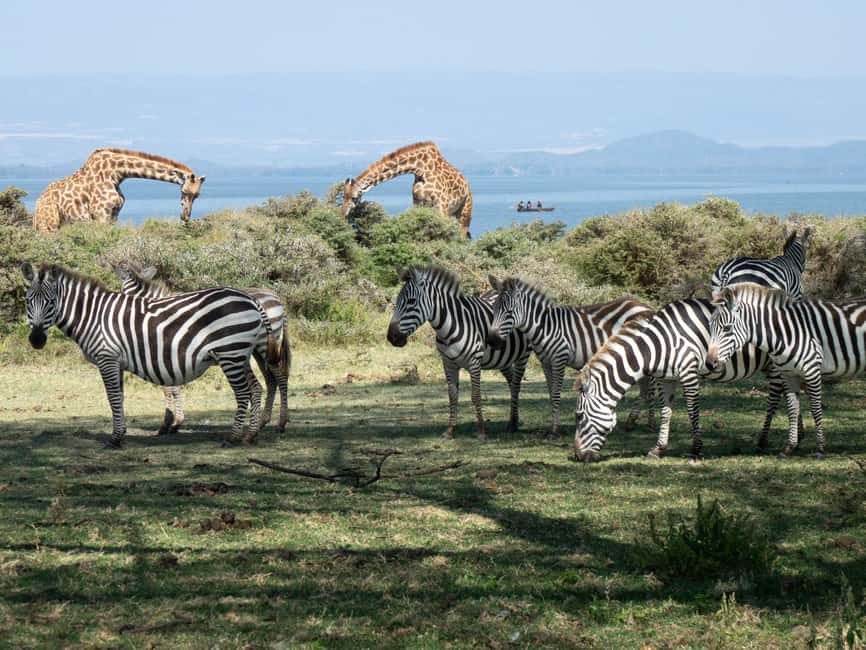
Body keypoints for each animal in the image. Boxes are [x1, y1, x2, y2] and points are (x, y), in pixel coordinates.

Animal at [33, 148, 205, 233]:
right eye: (185, 191)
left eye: (197, 195)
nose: (185, 217)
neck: (116, 174)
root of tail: (36, 207)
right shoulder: (100, 215)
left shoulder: (114, 215)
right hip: (49, 224)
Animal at [342, 141, 473, 238]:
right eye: (343, 196)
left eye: (354, 197)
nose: (342, 214)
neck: (420, 170)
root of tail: (467, 184)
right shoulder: (418, 203)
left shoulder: (442, 206)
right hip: (453, 213)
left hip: (465, 211)